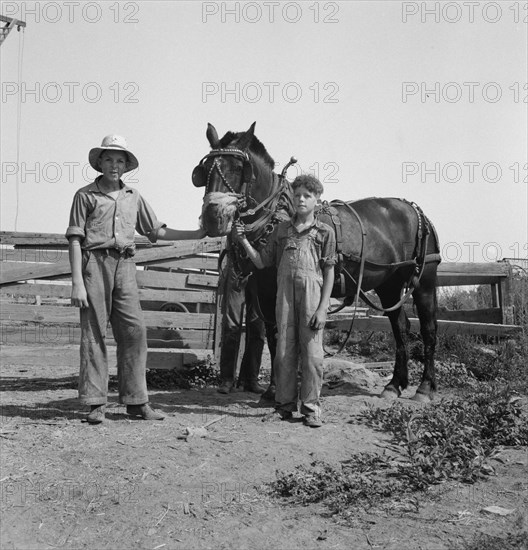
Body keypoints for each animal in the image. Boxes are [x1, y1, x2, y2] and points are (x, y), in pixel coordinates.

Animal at [193, 123, 442, 404]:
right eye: (204, 170)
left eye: (238, 168)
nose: (212, 217)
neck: (276, 216)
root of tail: (416, 211)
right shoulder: (265, 289)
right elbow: (273, 335)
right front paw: (273, 389)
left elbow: (281, 334)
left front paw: (280, 389)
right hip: (389, 284)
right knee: (400, 326)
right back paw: (394, 384)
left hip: (425, 280)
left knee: (428, 329)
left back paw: (425, 387)